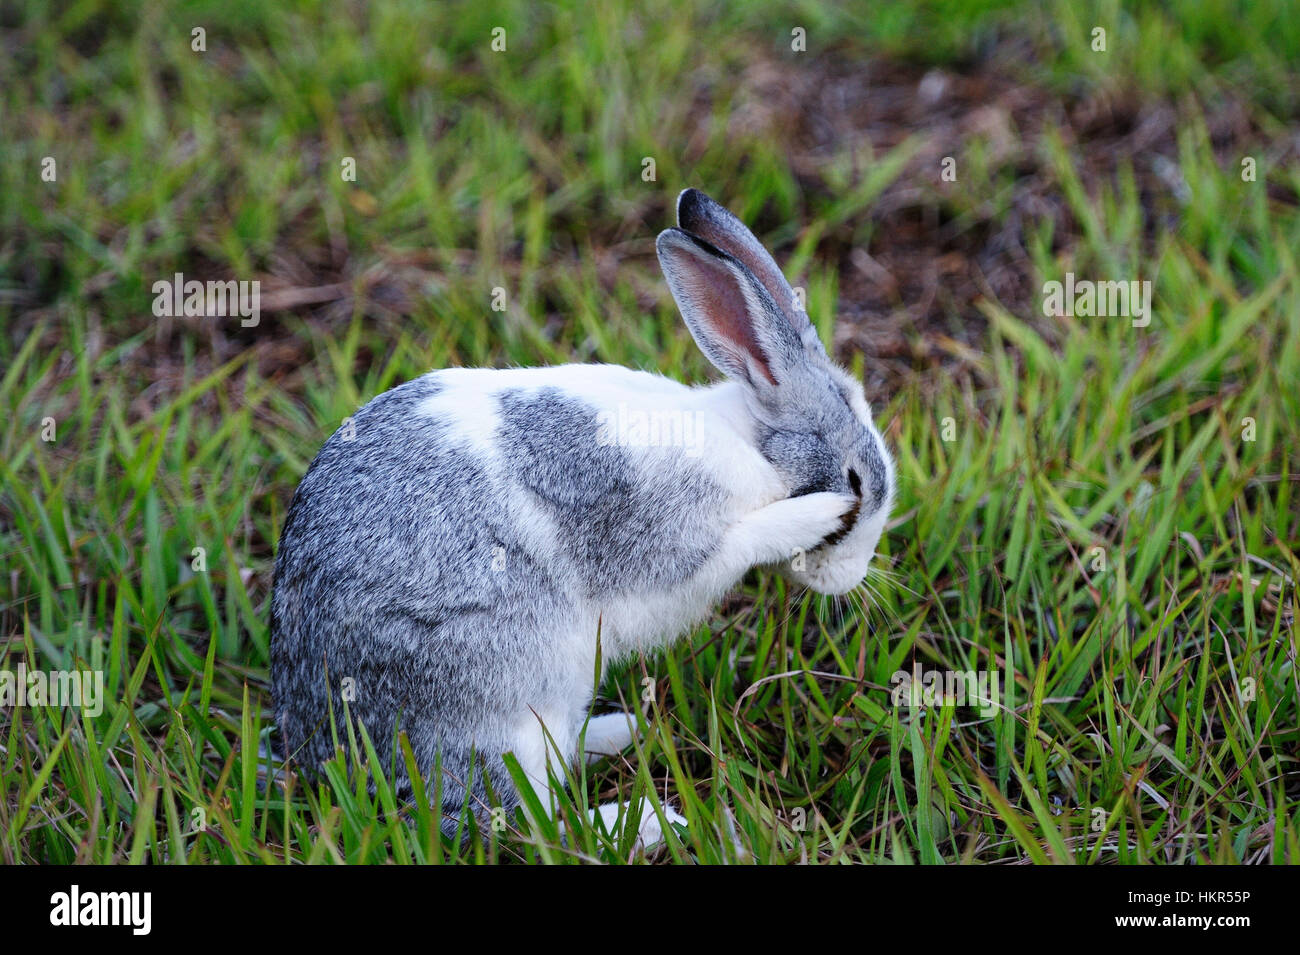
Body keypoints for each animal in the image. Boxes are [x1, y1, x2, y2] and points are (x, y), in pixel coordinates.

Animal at [269, 187, 899, 841]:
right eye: (856, 482)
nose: (851, 579)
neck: (751, 444)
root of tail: (329, 763)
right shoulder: (665, 538)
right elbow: (739, 540)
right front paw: (817, 512)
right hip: (506, 713)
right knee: (529, 824)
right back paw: (648, 821)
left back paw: (621, 731)